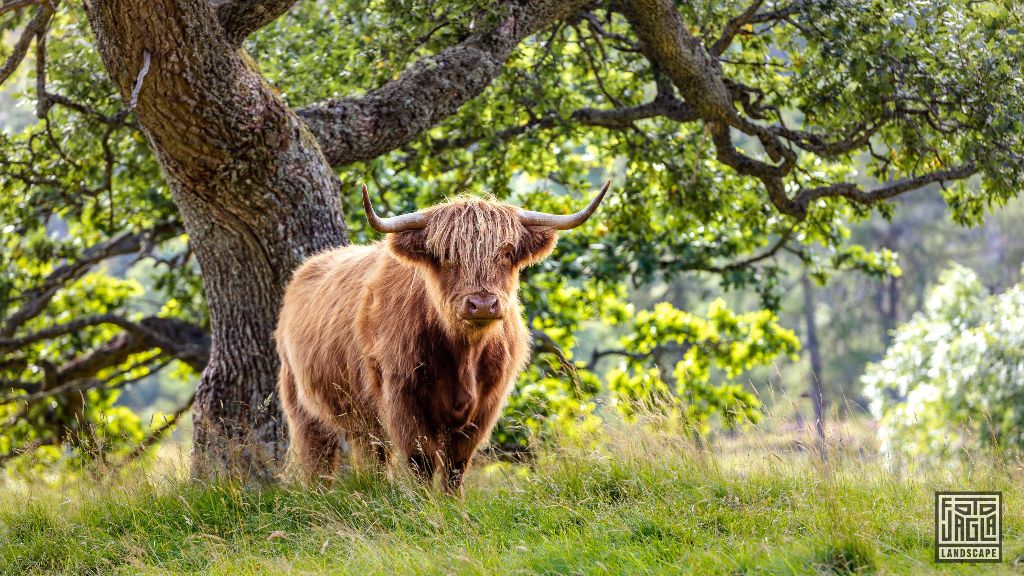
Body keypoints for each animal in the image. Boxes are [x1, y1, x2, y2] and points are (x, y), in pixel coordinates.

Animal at [272, 181, 606, 491]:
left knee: (369, 454)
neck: (464, 355)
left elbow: (457, 465)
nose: (482, 303)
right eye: (447, 256)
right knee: (318, 458)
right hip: (301, 402)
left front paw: (452, 506)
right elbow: (421, 461)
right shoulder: (402, 399)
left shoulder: (486, 404)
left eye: (507, 252)